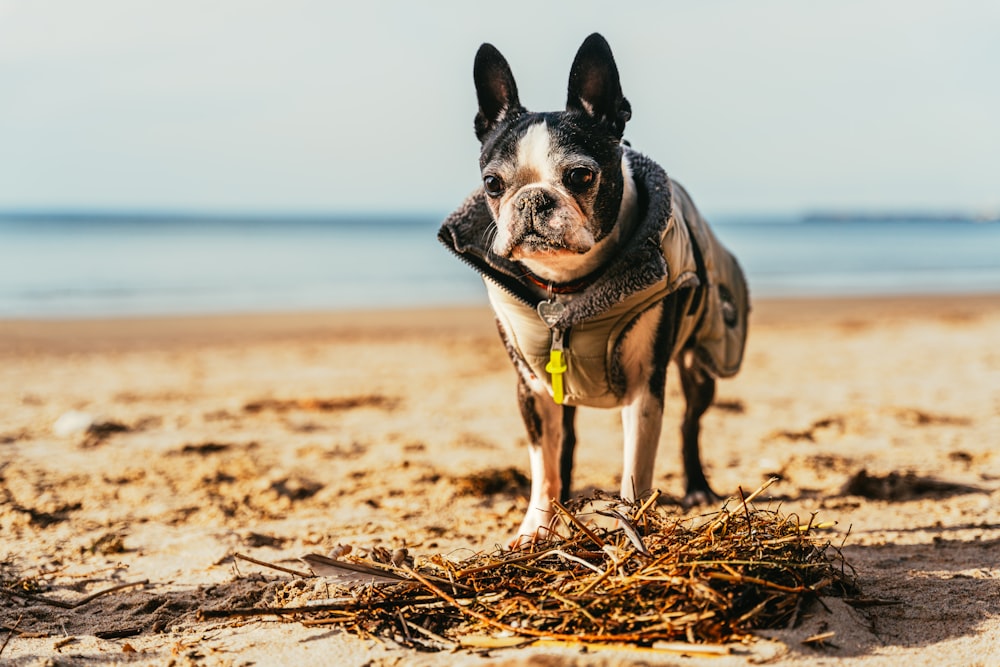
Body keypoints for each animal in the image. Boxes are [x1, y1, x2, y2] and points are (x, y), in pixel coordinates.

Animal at [442, 32, 748, 548]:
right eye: (493, 183)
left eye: (580, 176)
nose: (533, 199)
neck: (567, 291)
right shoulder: (533, 387)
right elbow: (544, 465)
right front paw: (536, 528)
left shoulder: (645, 385)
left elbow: (635, 470)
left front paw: (631, 530)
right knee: (565, 444)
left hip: (699, 367)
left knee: (690, 425)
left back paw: (698, 488)